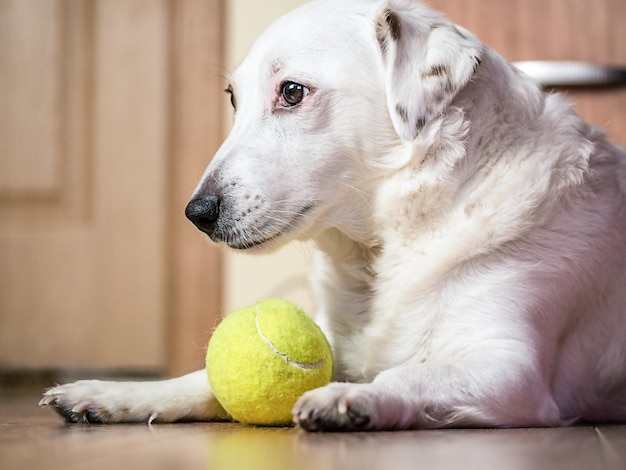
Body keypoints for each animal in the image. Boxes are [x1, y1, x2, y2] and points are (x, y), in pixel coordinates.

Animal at [41, 0, 620, 430]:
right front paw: (114, 393)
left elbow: (405, 376)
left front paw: (351, 400)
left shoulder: (511, 371)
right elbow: (200, 380)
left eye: (293, 92)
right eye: (232, 98)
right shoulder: (334, 339)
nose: (195, 212)